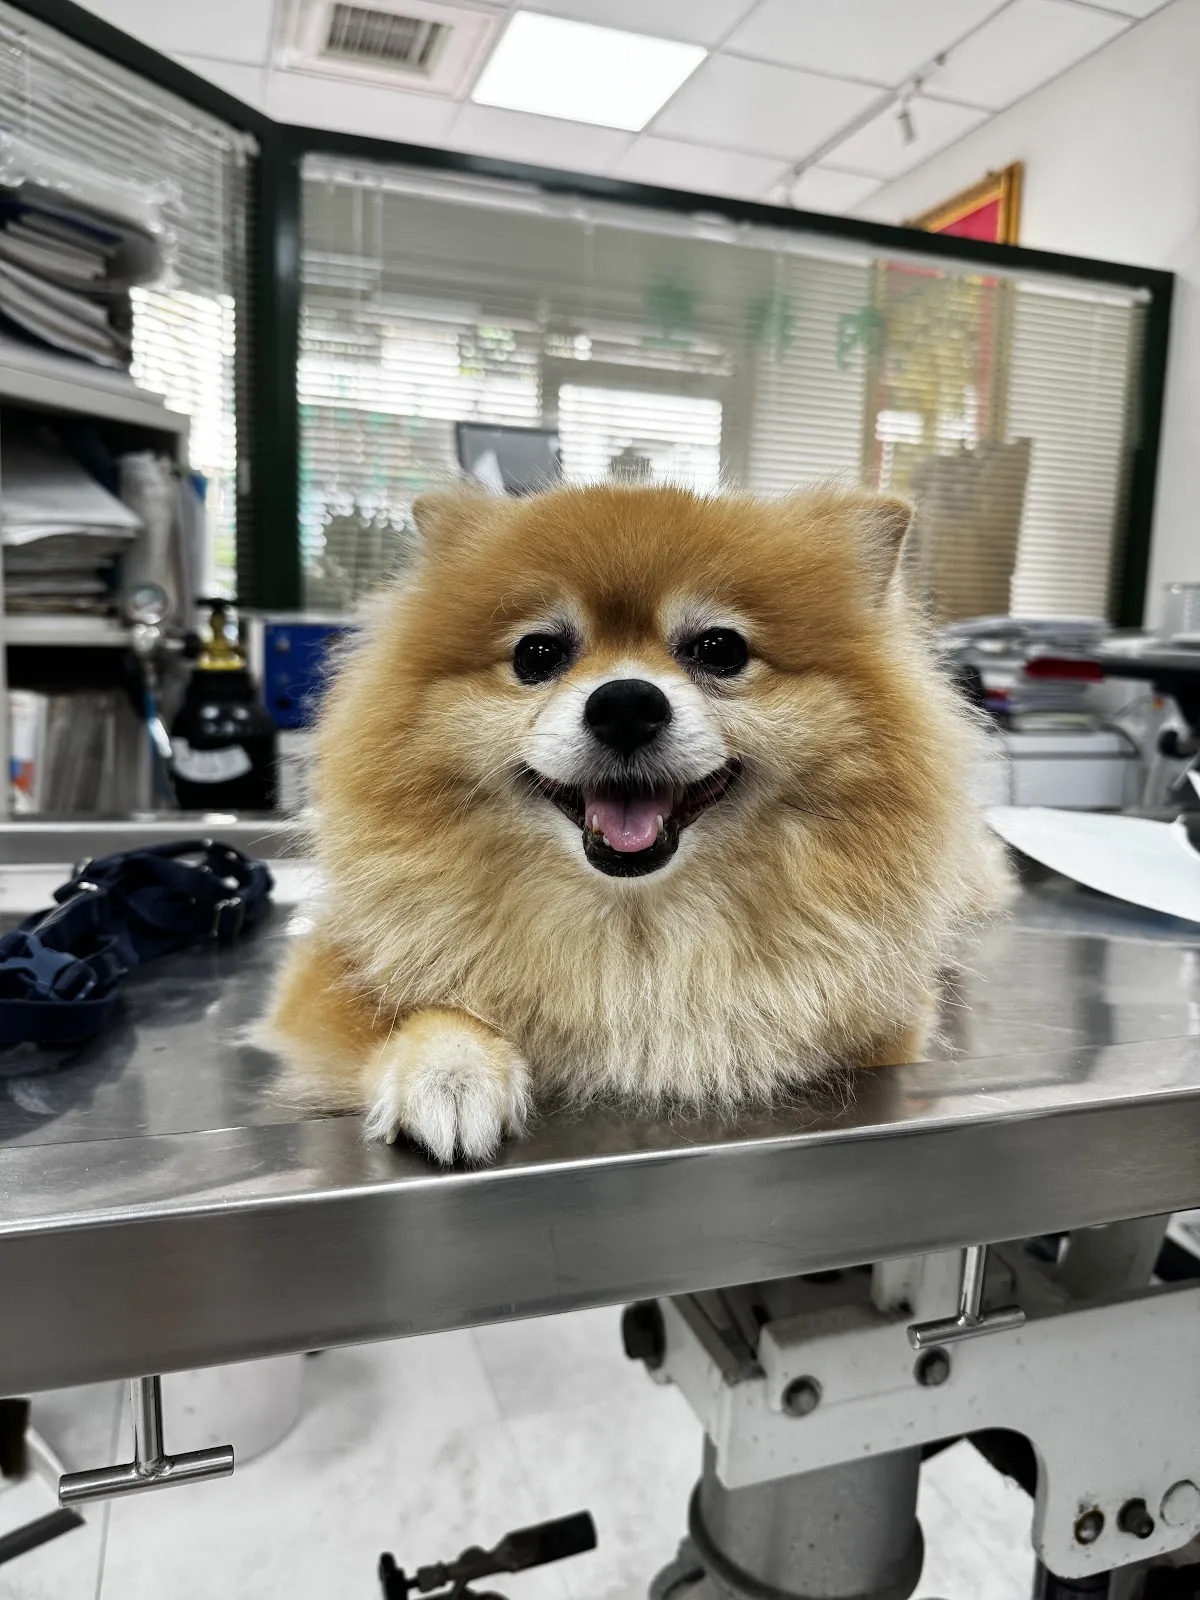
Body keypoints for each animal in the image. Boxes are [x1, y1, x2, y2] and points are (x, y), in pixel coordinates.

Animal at [264, 482, 1008, 1163]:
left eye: (719, 649)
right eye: (537, 654)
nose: (624, 704)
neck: (636, 932)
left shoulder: (887, 1036)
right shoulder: (326, 983)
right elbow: (423, 1013)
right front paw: (448, 1067)